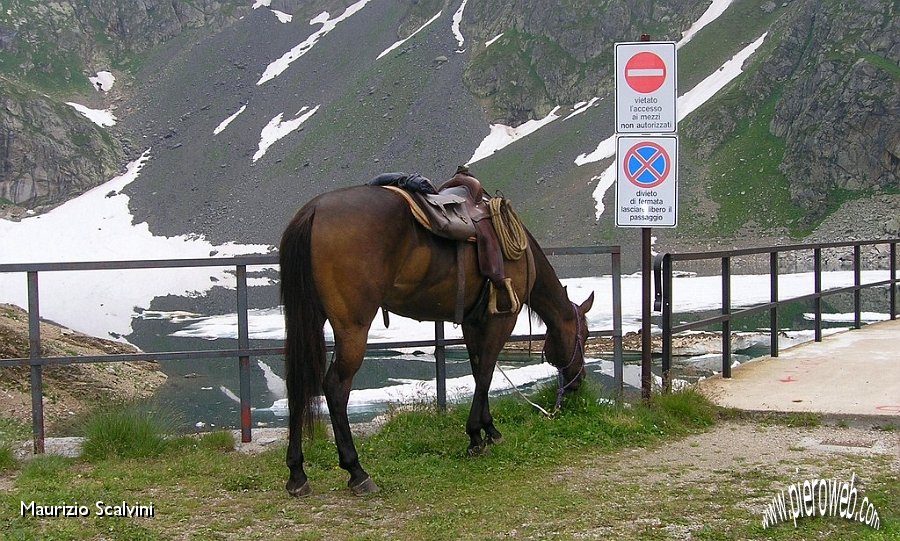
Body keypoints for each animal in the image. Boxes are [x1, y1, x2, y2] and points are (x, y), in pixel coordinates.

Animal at [278, 184, 596, 496]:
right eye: (585, 335)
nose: (578, 382)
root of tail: (313, 210)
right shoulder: (501, 320)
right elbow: (486, 373)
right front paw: (476, 436)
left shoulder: (472, 323)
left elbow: (479, 370)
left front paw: (488, 430)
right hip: (352, 328)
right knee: (335, 387)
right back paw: (357, 471)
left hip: (309, 318)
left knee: (298, 384)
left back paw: (297, 474)